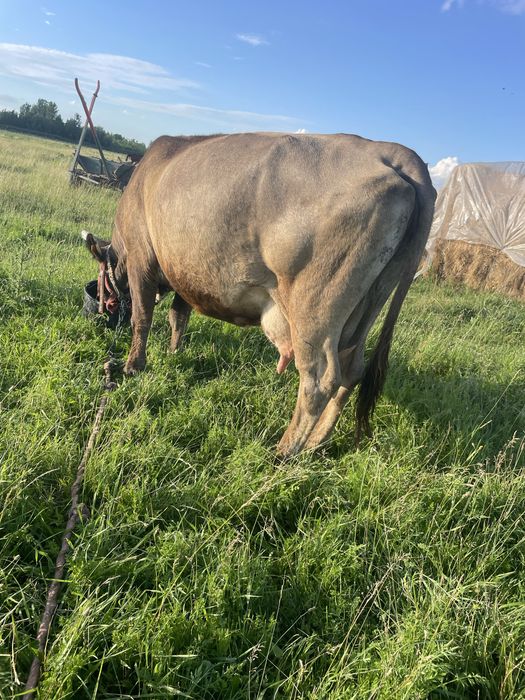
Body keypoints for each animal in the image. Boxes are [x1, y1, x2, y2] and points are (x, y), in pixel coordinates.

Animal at [83, 132, 436, 457]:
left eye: (101, 280)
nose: (97, 309)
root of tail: (393, 152)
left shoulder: (142, 259)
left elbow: (142, 317)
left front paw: (133, 366)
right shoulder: (187, 274)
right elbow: (178, 316)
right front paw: (174, 351)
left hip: (315, 309)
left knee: (320, 380)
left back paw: (285, 451)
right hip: (368, 306)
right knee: (352, 371)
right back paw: (316, 443)